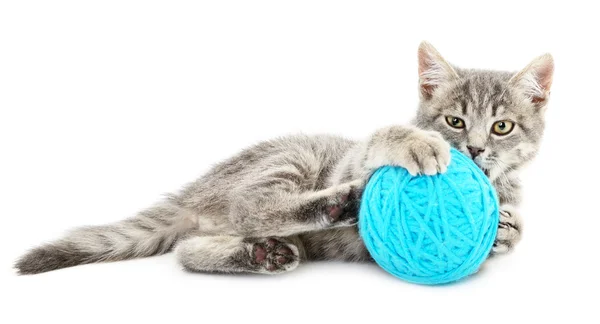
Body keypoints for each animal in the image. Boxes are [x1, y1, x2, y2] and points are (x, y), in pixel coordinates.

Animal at [16, 42, 556, 276]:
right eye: (455, 122)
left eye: (502, 126)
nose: (475, 149)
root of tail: (199, 189)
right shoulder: (349, 158)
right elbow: (378, 140)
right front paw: (414, 142)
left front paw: (507, 228)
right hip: (292, 157)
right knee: (250, 207)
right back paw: (337, 205)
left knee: (188, 248)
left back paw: (261, 253)